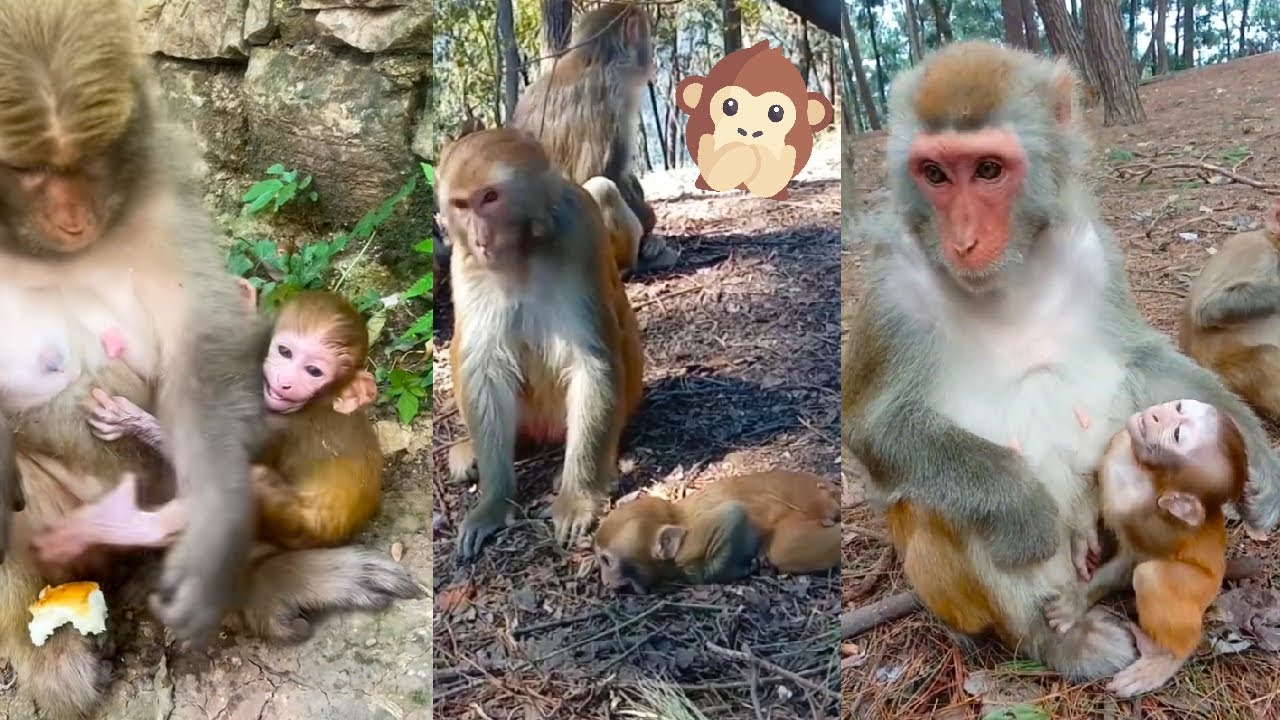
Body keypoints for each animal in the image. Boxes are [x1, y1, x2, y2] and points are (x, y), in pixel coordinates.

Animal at [31, 289, 386, 561]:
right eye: (285, 352)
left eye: (314, 371)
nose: (285, 381)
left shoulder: (278, 429)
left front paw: (132, 421)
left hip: (295, 526)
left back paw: (121, 527)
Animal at [436, 128, 645, 562]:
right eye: (461, 205)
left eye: (490, 197)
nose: (480, 239)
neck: (523, 249)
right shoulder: (463, 262)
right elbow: (484, 367)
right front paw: (494, 503)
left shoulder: (579, 231)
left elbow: (590, 363)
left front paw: (578, 499)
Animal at [510, 1, 679, 274]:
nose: (651, 58)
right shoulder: (611, 96)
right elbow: (600, 172)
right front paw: (650, 223)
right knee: (603, 187)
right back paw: (632, 263)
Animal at [1042, 399, 1247, 697]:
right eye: (1179, 407)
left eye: (1176, 435)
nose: (1156, 414)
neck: (1140, 467)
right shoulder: (1120, 442)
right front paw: (1084, 540)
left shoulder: (1142, 512)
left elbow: (1130, 563)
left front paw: (1076, 601)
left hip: (1202, 587)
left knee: (1149, 576)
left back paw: (1168, 656)